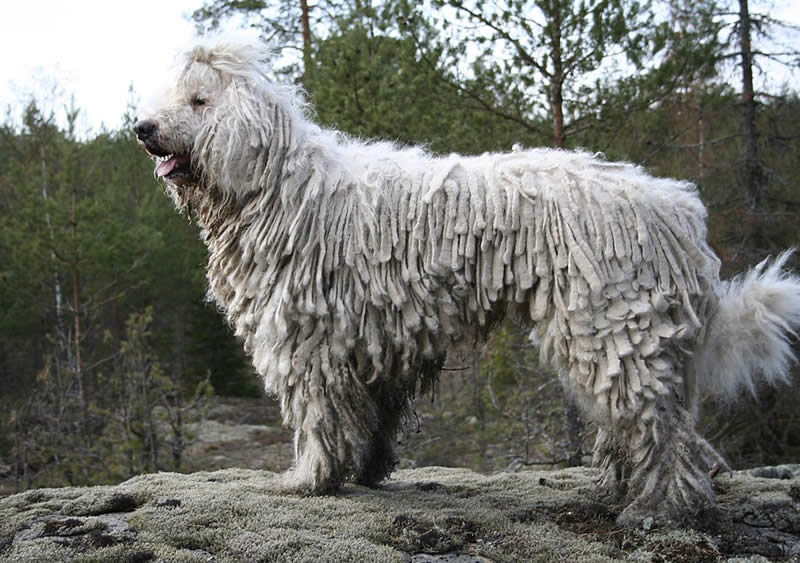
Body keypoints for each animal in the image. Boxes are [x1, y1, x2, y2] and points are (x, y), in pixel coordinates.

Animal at [134, 38, 800, 524]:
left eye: (198, 101)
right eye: (172, 99)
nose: (143, 128)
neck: (277, 188)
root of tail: (679, 211)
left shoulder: (309, 338)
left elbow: (320, 414)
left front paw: (309, 479)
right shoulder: (378, 340)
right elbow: (372, 415)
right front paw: (365, 470)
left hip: (612, 321)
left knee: (661, 428)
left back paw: (658, 508)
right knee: (644, 422)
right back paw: (618, 490)